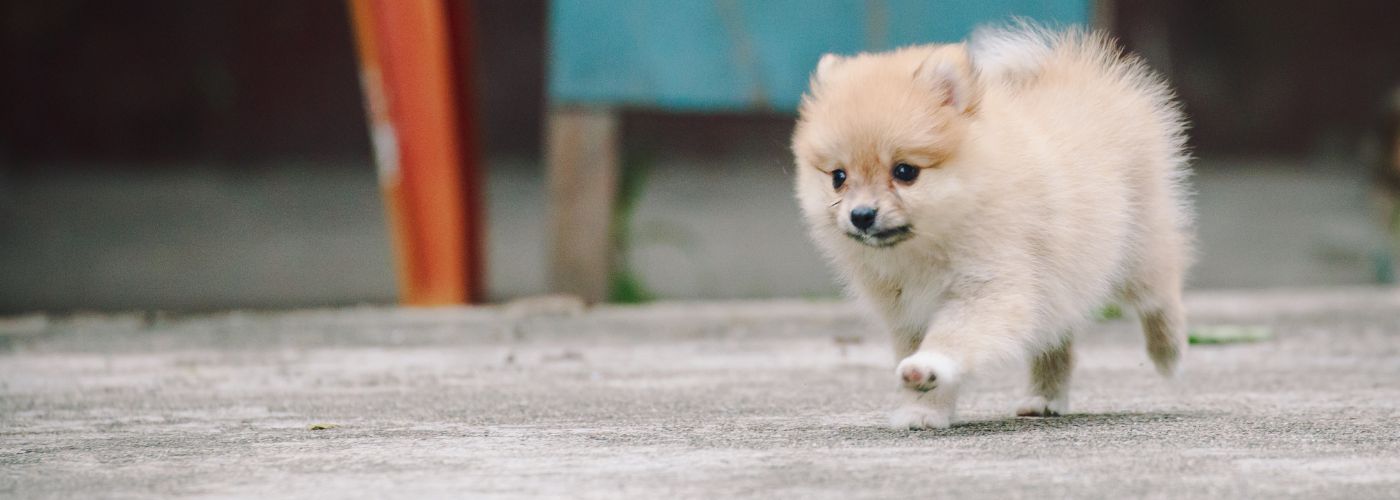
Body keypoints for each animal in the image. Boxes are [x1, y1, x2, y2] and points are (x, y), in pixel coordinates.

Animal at [789, 24, 1192, 428]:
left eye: (905, 172)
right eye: (838, 177)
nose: (861, 215)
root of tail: (1076, 72)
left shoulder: (990, 288)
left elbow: (952, 336)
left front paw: (927, 366)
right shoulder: (908, 314)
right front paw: (922, 410)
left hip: (1138, 250)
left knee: (1161, 293)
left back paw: (1169, 353)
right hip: (1061, 284)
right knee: (1056, 338)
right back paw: (1045, 397)